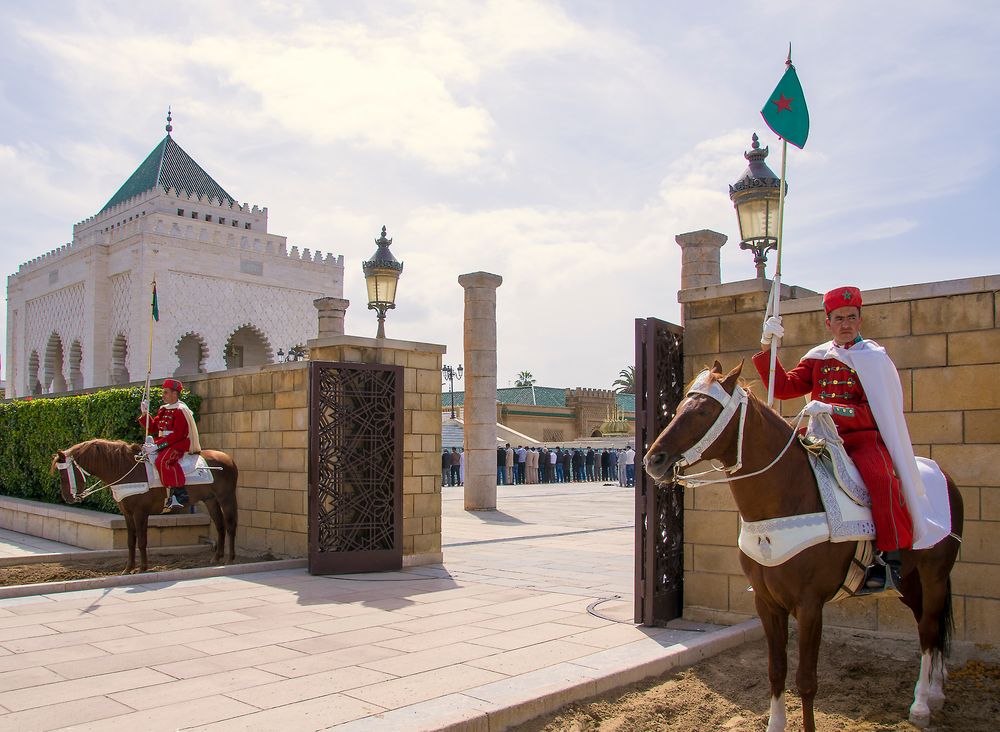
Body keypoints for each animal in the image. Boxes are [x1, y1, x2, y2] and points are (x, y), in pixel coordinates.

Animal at [54, 438, 240, 576]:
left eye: (64, 473)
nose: (67, 498)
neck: (126, 470)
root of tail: (228, 458)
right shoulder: (127, 514)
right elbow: (130, 541)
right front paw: (128, 568)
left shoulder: (140, 513)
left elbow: (142, 541)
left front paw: (143, 568)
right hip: (211, 500)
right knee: (220, 526)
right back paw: (216, 557)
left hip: (226, 498)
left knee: (230, 525)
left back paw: (230, 558)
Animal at [644, 364, 964, 732]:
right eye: (680, 406)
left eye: (703, 411)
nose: (653, 460)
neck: (785, 498)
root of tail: (943, 474)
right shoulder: (767, 602)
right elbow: (776, 670)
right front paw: (775, 723)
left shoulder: (810, 604)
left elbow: (806, 680)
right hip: (908, 581)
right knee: (929, 625)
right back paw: (936, 690)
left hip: (935, 574)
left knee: (928, 628)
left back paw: (922, 703)